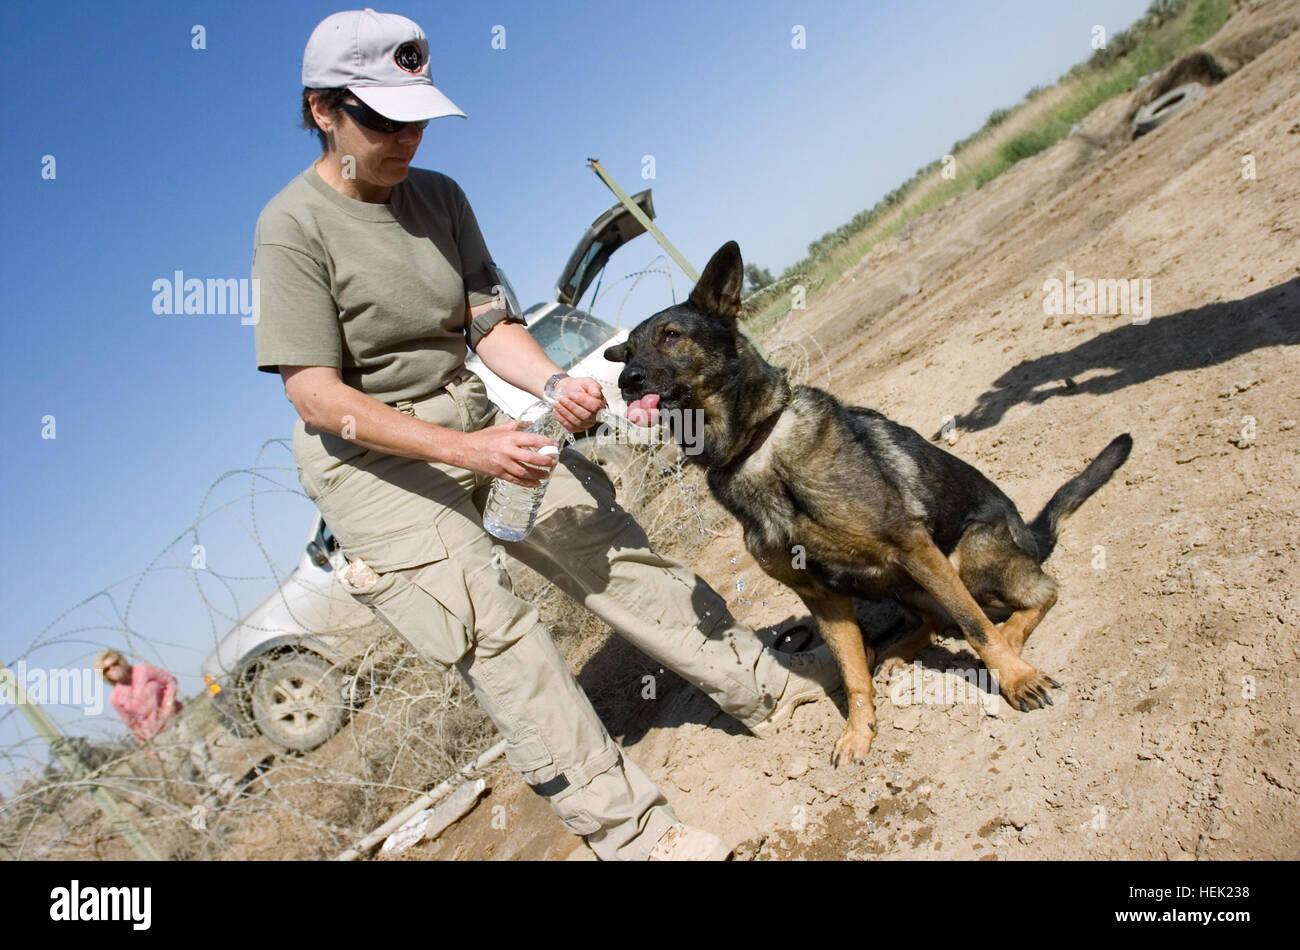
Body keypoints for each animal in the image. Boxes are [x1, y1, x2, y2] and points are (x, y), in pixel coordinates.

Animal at [605, 245, 1128, 764]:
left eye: (671, 335)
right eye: (626, 354)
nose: (627, 381)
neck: (755, 450)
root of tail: (1031, 536)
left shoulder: (914, 548)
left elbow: (976, 628)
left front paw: (1016, 677)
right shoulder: (820, 594)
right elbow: (851, 667)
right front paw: (859, 730)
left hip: (965, 557)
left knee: (1034, 594)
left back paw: (1012, 642)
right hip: (896, 583)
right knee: (936, 619)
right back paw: (895, 654)